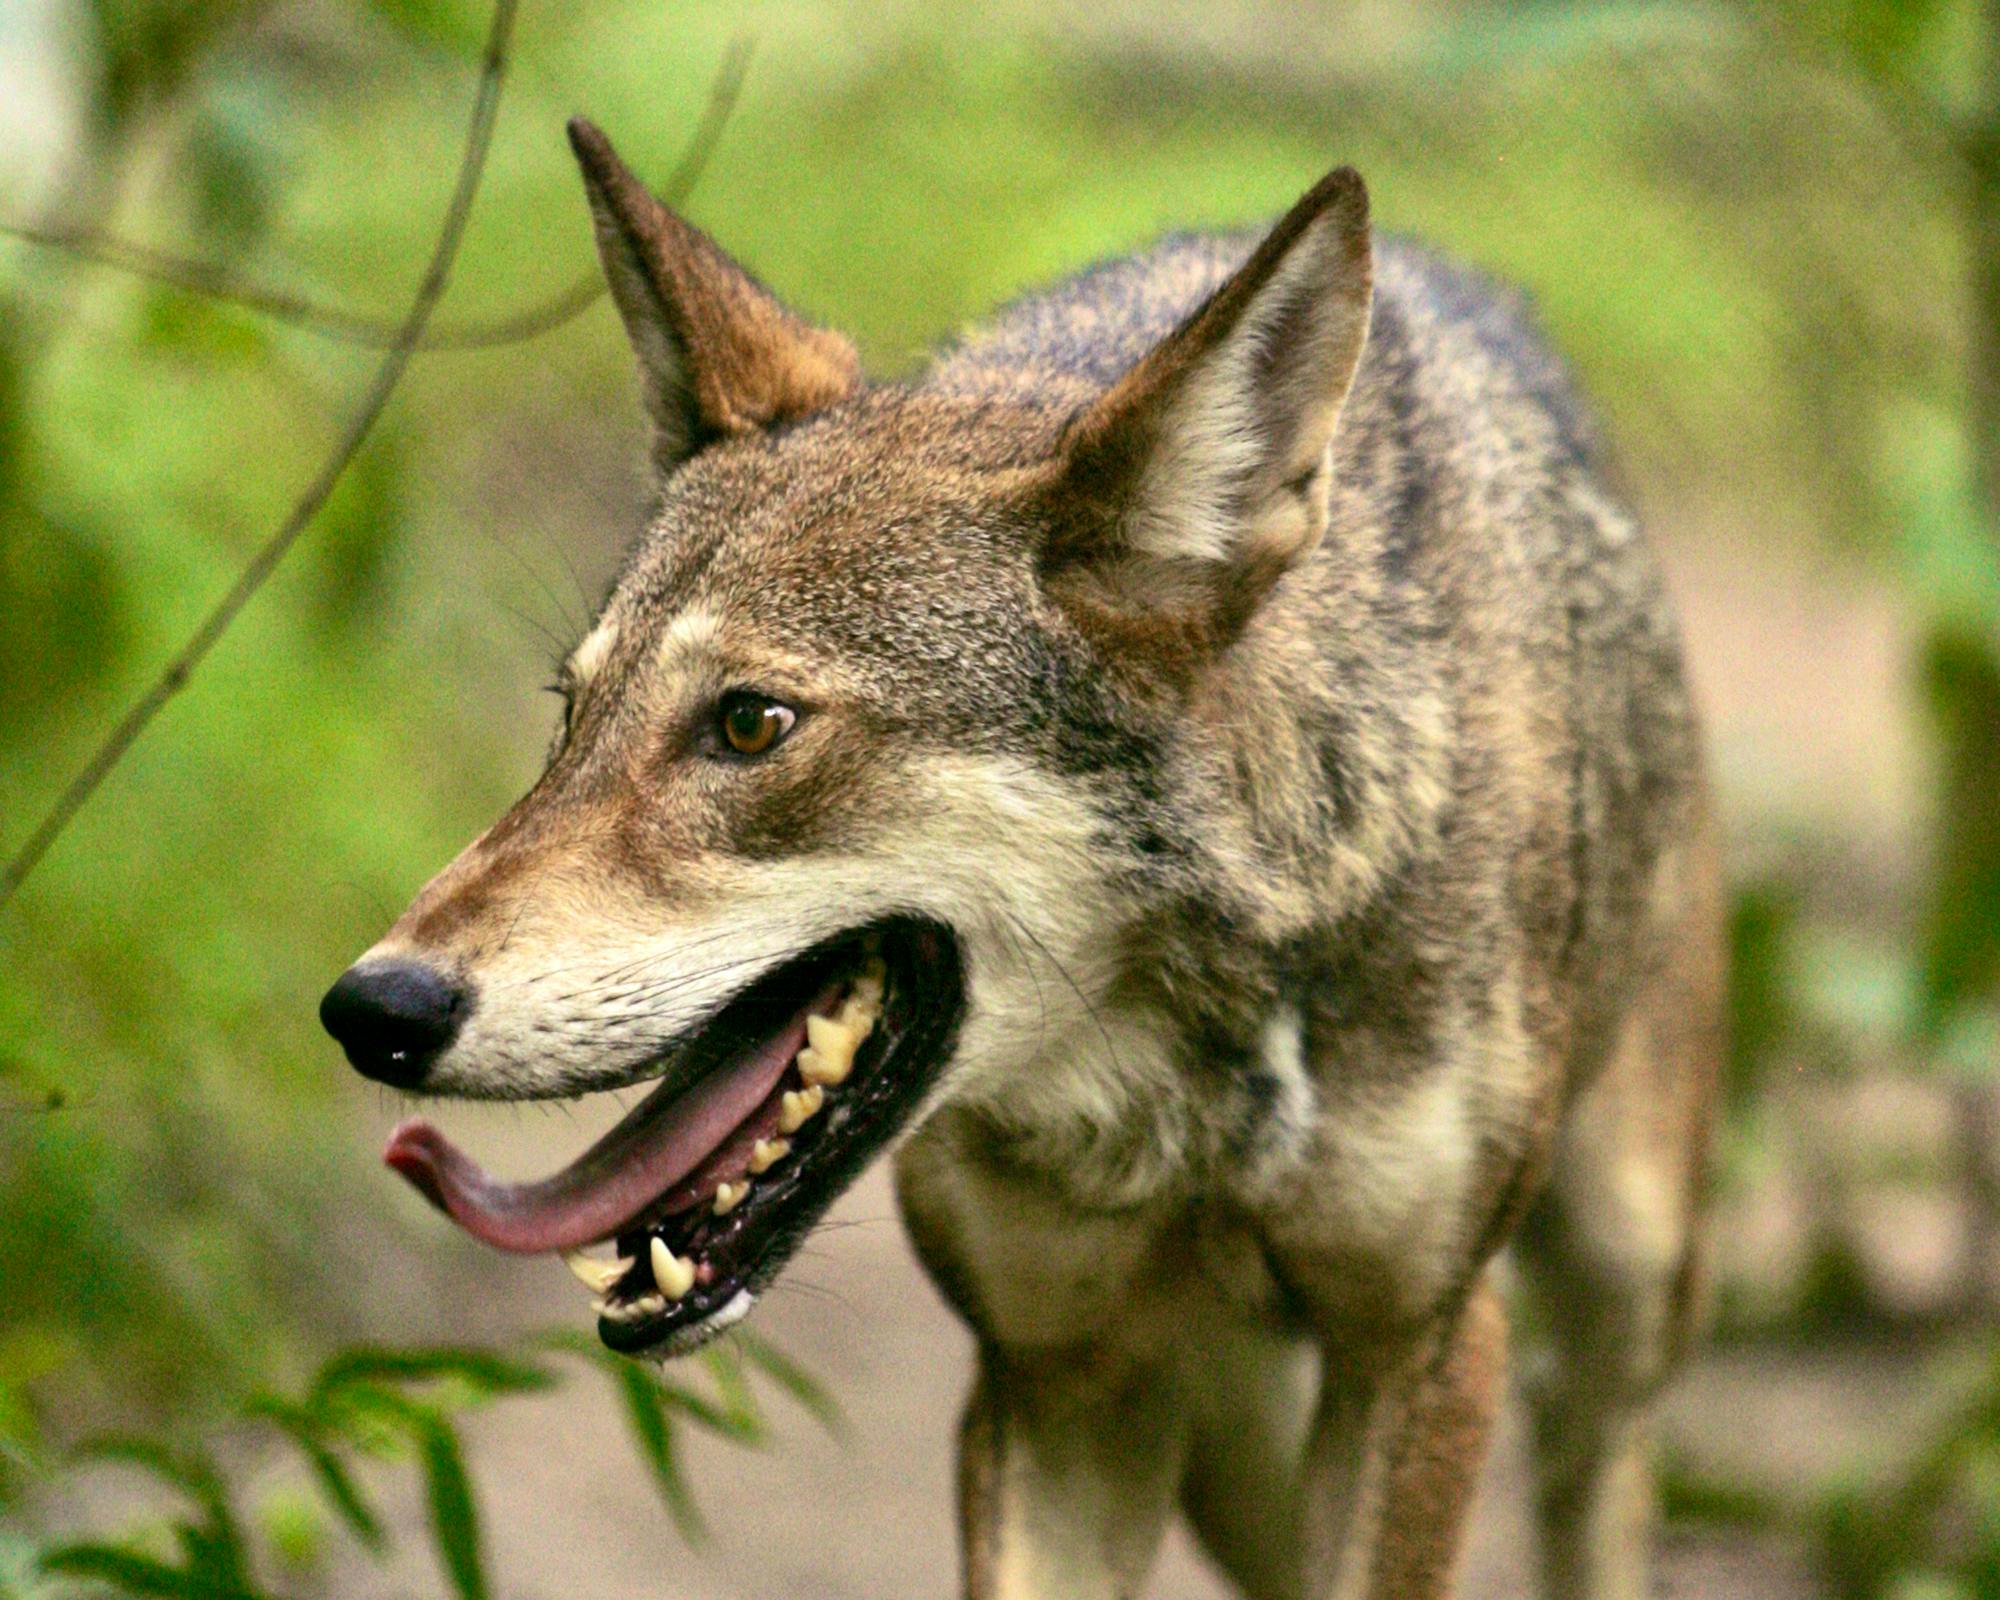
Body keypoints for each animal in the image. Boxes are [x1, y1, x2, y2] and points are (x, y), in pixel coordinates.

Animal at [320, 113, 1721, 1600]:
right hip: (1227, 1435)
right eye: (572, 716)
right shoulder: (1054, 1379)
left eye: (751, 725)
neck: (1195, 1068)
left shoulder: (1419, 1352)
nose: (371, 1007)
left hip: (1616, 1296)